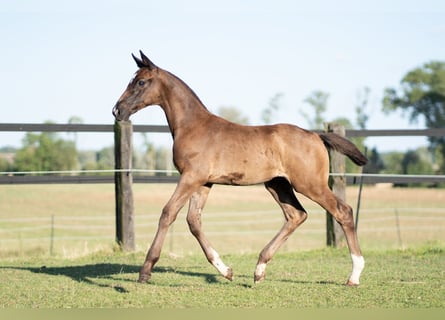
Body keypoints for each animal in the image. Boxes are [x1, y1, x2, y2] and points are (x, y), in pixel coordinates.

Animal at [112, 51, 366, 286]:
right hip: (278, 184)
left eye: (140, 82)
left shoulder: (191, 177)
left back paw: (354, 275)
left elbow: (168, 213)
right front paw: (226, 270)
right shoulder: (203, 182)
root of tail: (316, 135)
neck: (193, 126)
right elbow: (194, 221)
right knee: (296, 215)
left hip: (309, 184)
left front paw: (146, 270)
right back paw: (259, 269)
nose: (117, 111)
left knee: (343, 211)